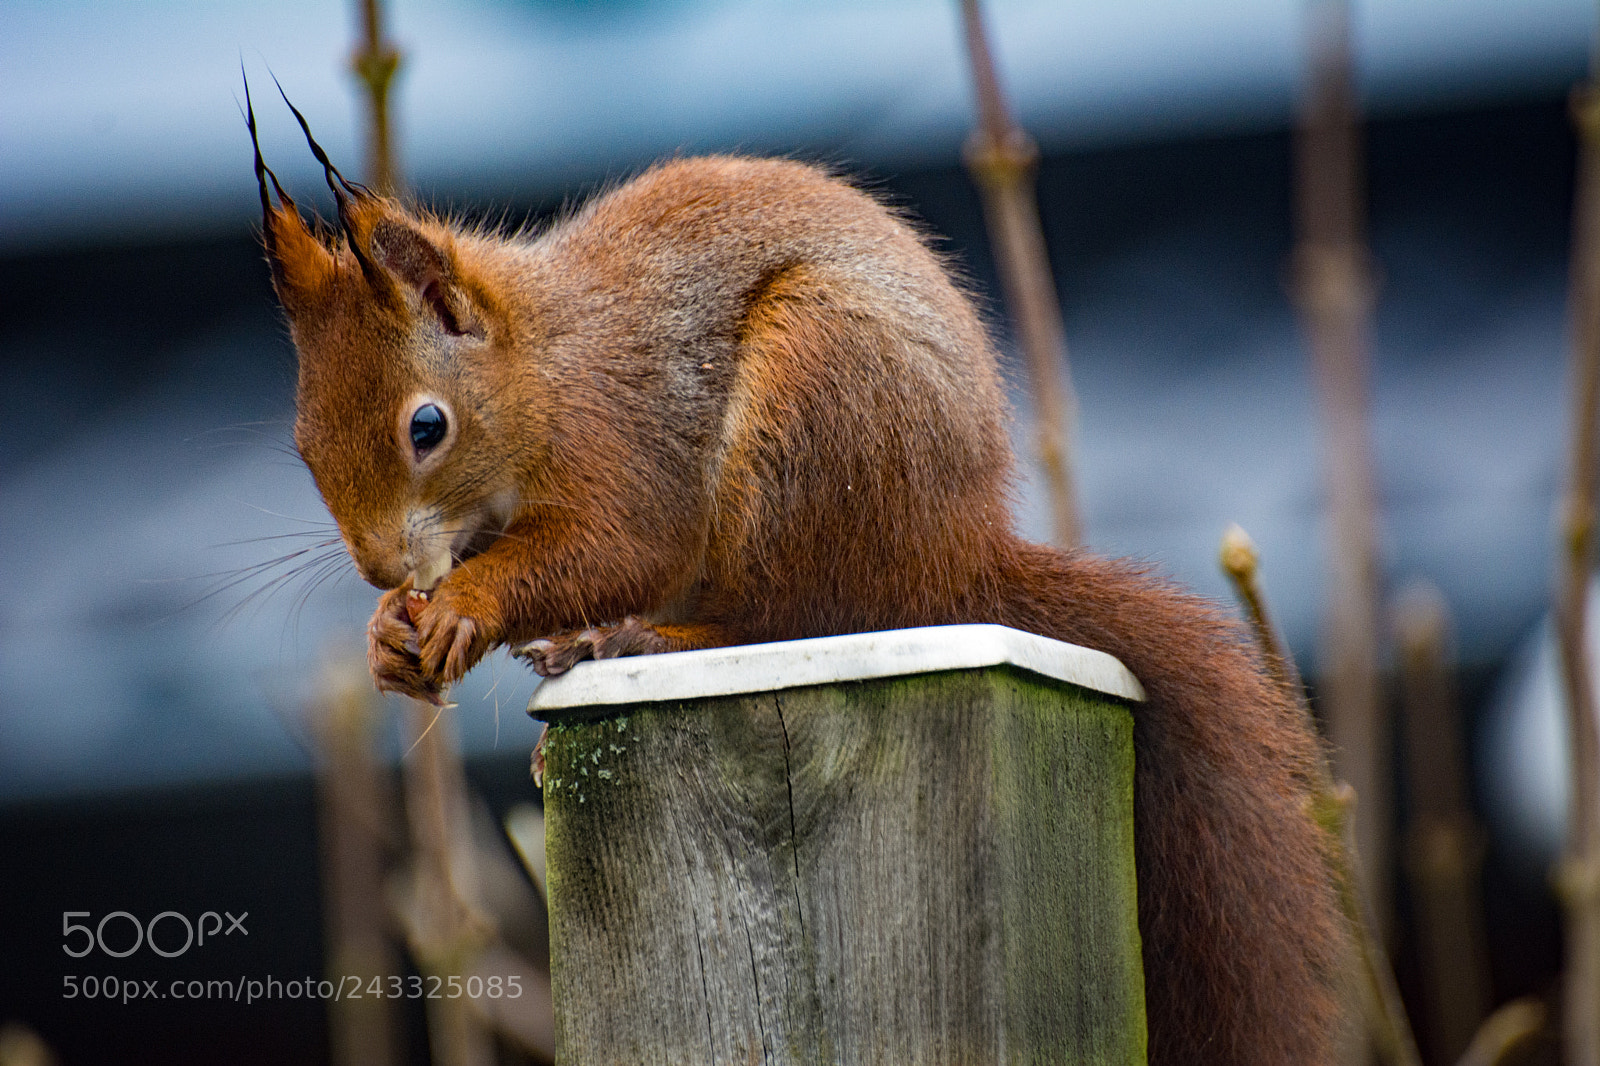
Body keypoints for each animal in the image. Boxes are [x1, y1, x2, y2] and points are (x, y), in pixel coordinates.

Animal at [250, 91, 1349, 1064]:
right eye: (300, 447)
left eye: (426, 426)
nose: (380, 565)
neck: (542, 369)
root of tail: (958, 552)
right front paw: (389, 636)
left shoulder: (626, 436)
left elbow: (613, 550)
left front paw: (464, 608)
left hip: (818, 406)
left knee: (787, 613)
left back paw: (641, 637)